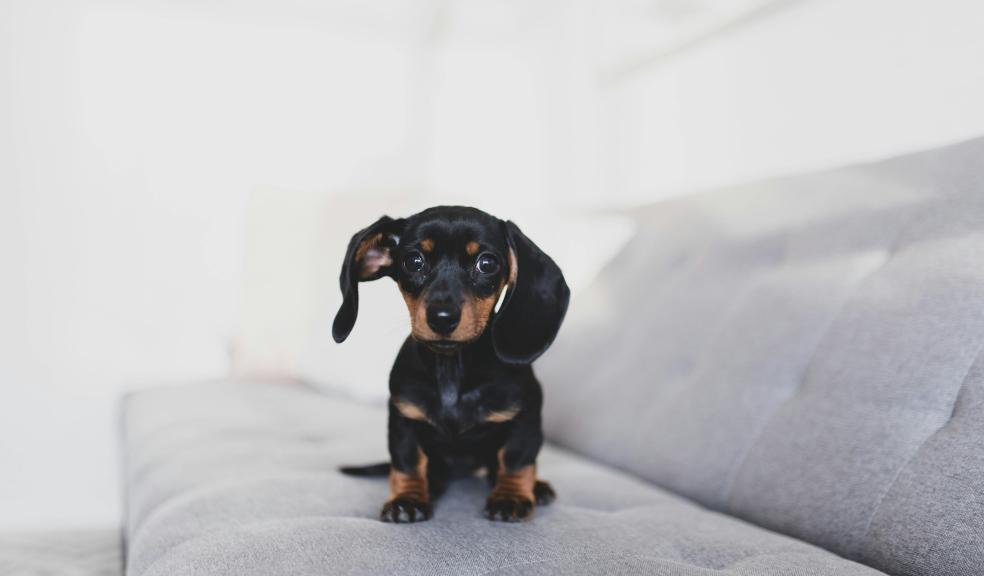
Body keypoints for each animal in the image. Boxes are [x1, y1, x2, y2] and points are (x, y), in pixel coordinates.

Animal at [336, 206, 568, 520]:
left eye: (487, 263)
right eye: (413, 261)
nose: (442, 317)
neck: (452, 369)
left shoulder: (526, 414)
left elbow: (516, 458)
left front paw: (511, 496)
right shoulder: (403, 415)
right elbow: (408, 460)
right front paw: (407, 499)